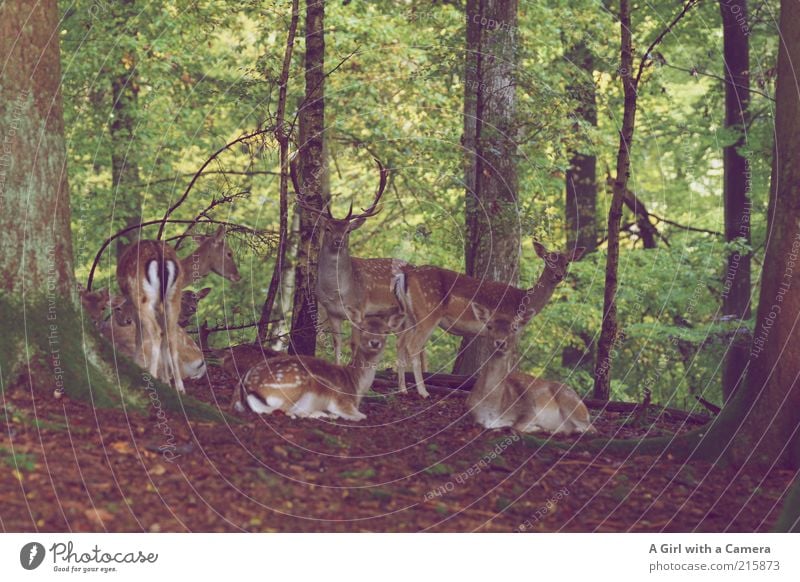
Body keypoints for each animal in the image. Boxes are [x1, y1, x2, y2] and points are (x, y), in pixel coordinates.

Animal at [233, 312, 406, 422]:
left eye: (386, 331)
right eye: (362, 328)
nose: (375, 342)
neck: (356, 387)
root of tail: (246, 386)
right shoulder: (341, 400)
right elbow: (361, 416)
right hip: (295, 384)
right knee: (284, 410)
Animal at [396, 244, 588, 400]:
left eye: (567, 262)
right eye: (548, 260)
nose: (559, 275)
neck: (522, 303)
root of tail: (407, 274)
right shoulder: (509, 329)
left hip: (410, 316)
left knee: (401, 343)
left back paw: (402, 390)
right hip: (428, 313)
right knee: (413, 346)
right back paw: (423, 392)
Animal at [462, 336, 592, 436]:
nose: (500, 343)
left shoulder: (529, 410)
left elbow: (515, 426)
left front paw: (538, 428)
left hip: (571, 404)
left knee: (591, 428)